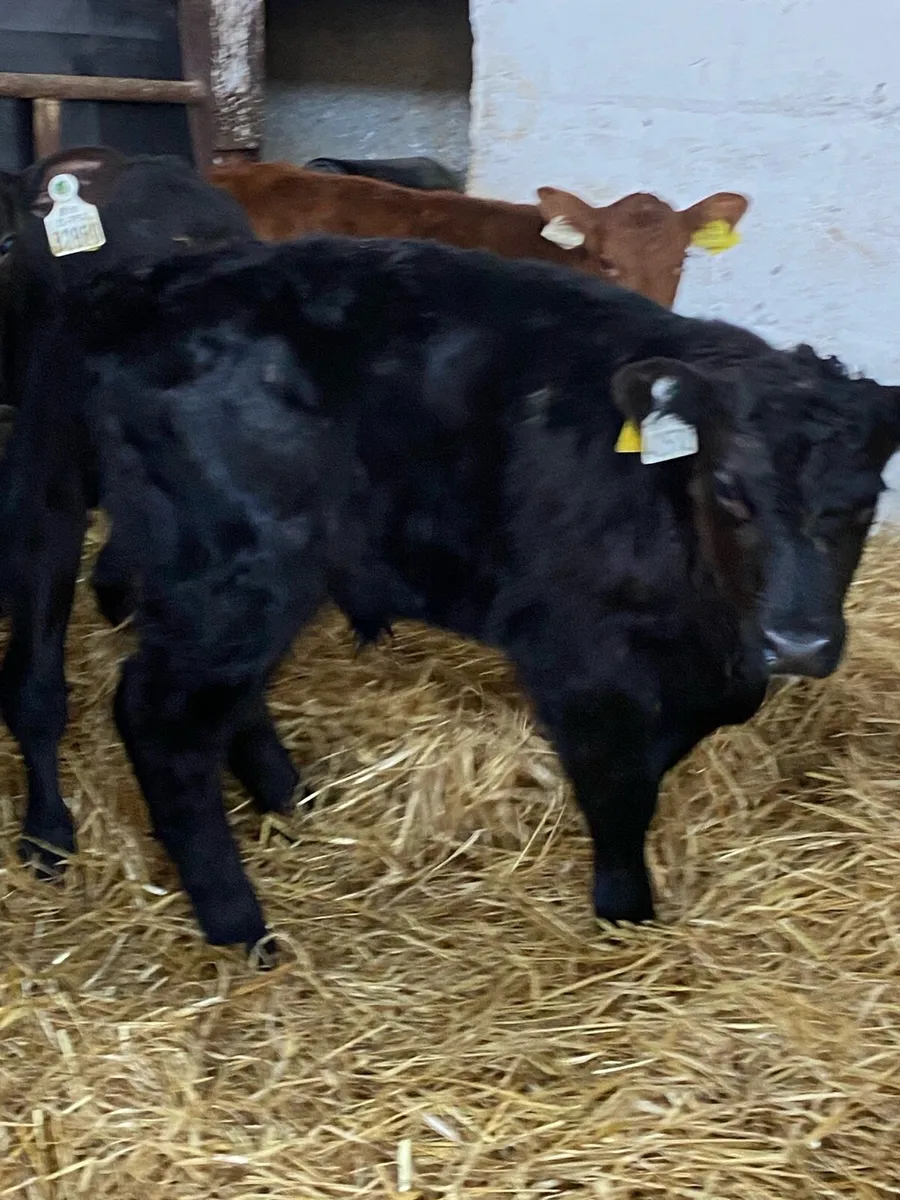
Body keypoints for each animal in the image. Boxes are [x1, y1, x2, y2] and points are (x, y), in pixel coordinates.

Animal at [3, 233, 896, 962]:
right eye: (730, 488)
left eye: (866, 500)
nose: (799, 643)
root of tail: (141, 282)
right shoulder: (573, 654)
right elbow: (619, 785)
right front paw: (625, 916)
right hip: (233, 565)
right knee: (161, 716)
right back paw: (240, 926)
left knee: (218, 701)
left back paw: (290, 799)